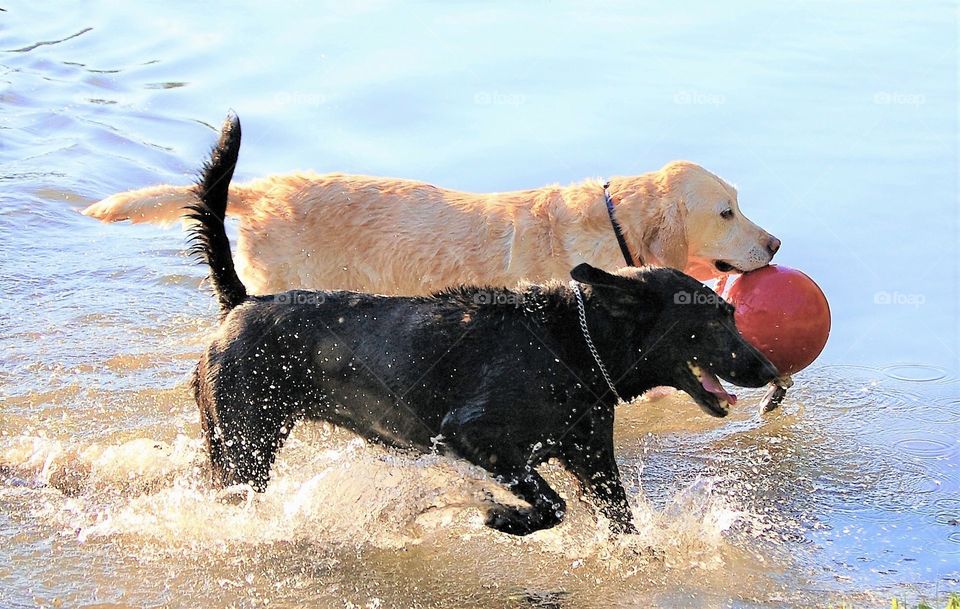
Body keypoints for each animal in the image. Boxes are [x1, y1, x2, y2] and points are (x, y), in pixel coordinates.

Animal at [188, 116, 780, 536]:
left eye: (732, 315)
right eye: (711, 321)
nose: (770, 369)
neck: (573, 344)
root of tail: (242, 303)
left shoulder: (594, 462)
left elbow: (620, 526)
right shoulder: (474, 435)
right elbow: (551, 504)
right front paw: (500, 516)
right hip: (242, 447)